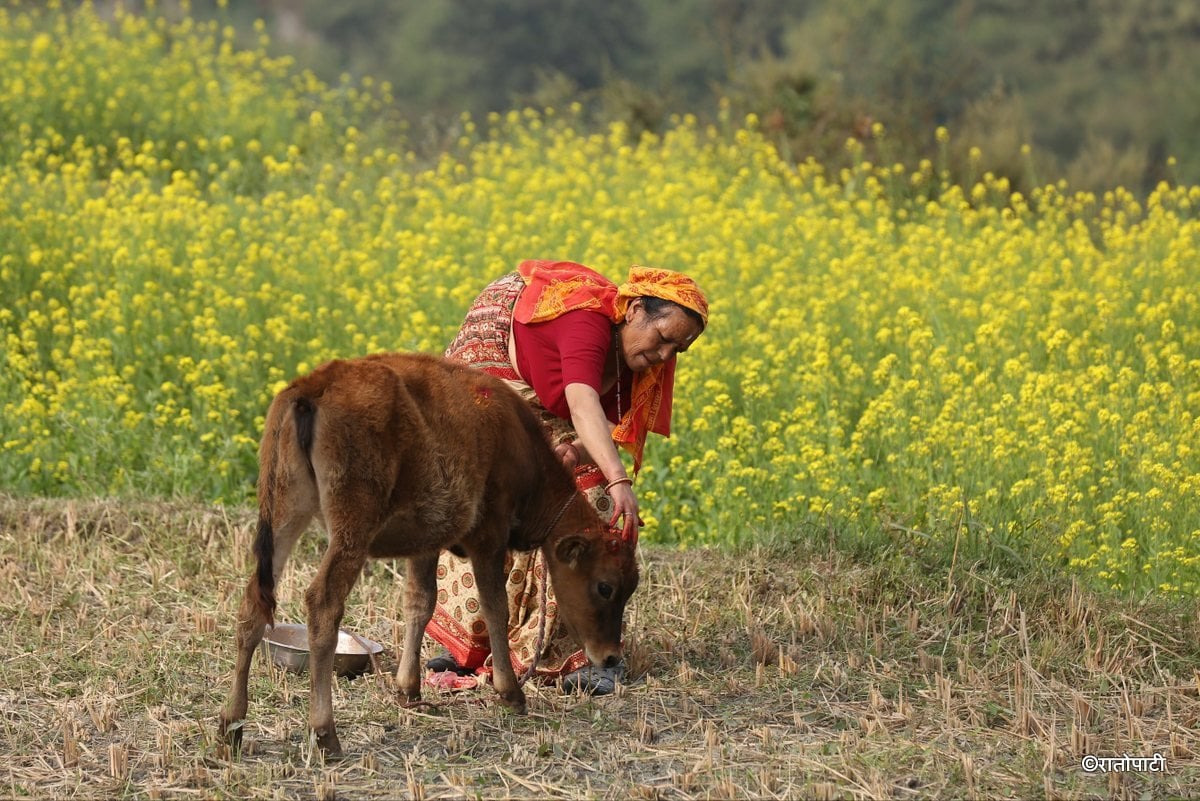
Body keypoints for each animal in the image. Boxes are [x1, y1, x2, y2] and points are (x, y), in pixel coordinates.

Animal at [218, 354, 638, 757]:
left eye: (630, 587)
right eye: (605, 586)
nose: (610, 657)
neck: (519, 445)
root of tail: (315, 385)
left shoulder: (426, 543)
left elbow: (420, 603)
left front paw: (409, 690)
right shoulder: (488, 537)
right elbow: (495, 608)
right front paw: (511, 693)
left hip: (284, 511)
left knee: (254, 603)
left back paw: (231, 728)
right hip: (350, 530)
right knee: (322, 603)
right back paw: (326, 735)